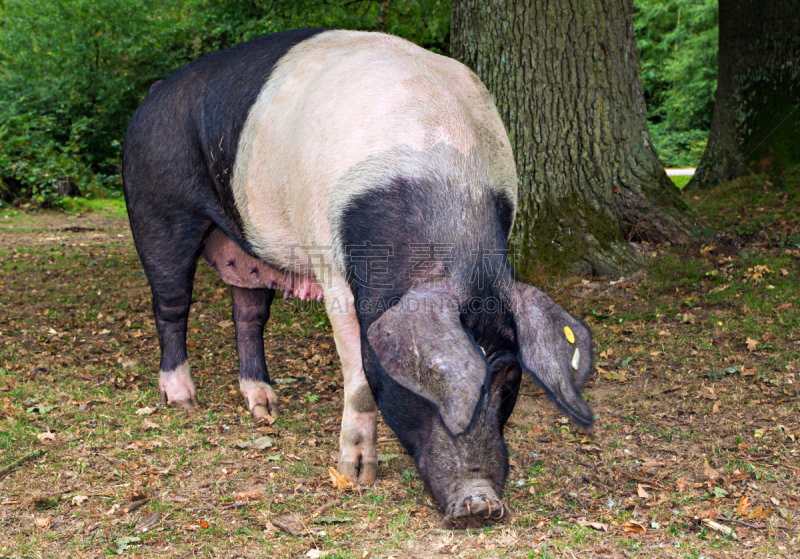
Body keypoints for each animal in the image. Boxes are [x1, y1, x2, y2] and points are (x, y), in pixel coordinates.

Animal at [122, 28, 592, 524]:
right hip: (156, 208)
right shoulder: (334, 271)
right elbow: (361, 375)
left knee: (248, 314)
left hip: (246, 248)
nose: (479, 501)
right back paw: (182, 400)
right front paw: (355, 476)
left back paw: (265, 408)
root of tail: (152, 95)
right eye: (428, 378)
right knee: (171, 302)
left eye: (508, 377)